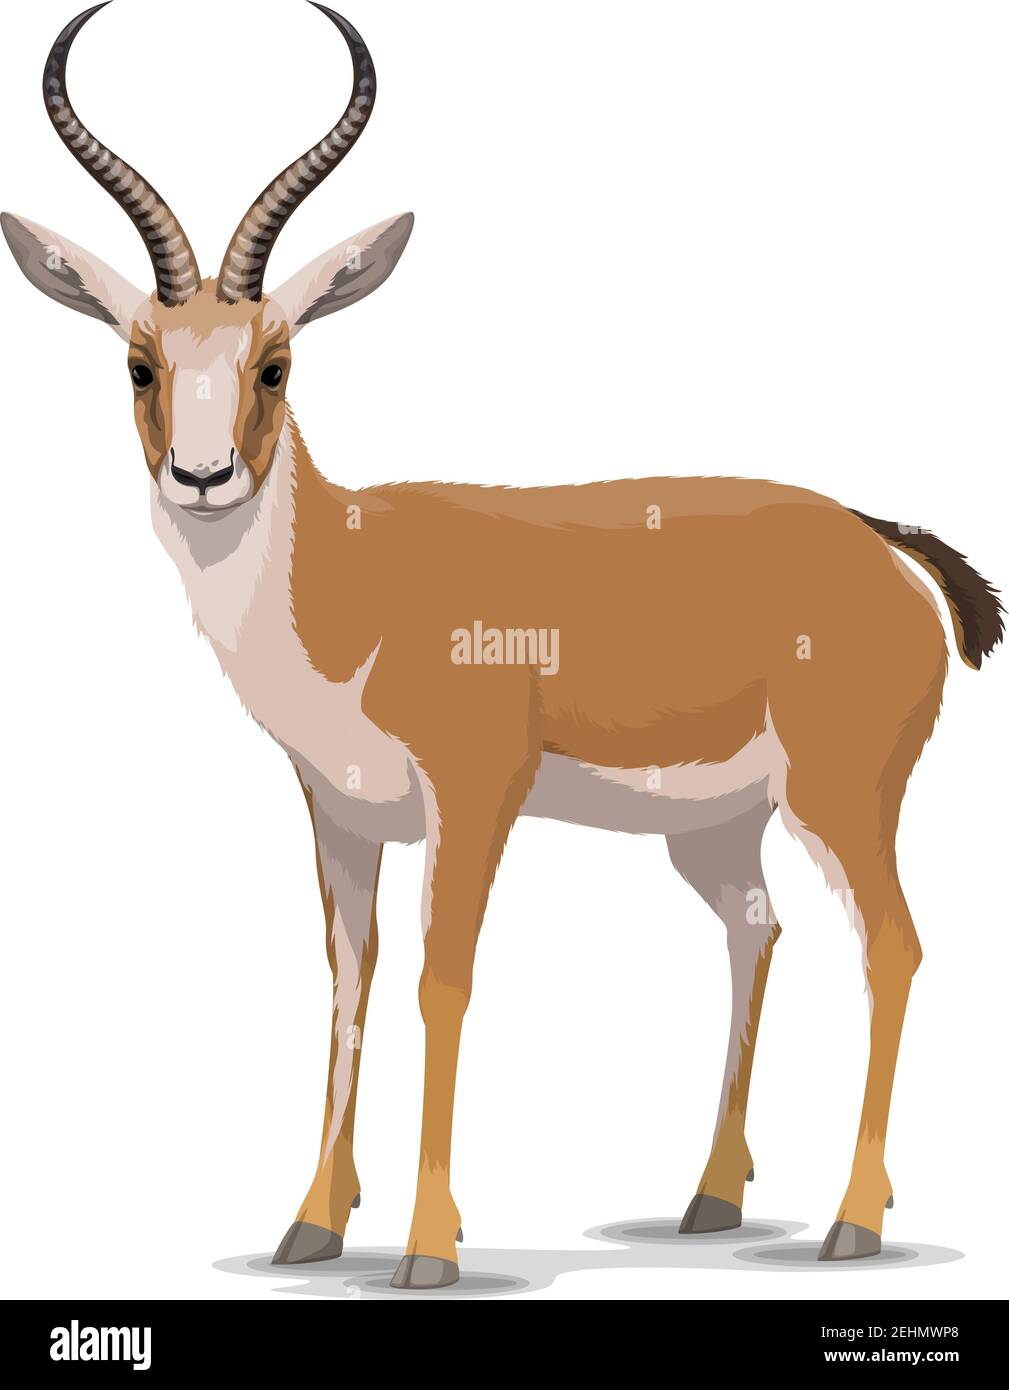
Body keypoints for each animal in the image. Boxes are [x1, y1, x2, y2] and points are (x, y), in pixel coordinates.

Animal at [4, 1, 1002, 1292]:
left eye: (277, 362)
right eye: (141, 363)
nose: (204, 474)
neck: (351, 581)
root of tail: (876, 536)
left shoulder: (473, 795)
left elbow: (443, 982)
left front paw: (427, 1245)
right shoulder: (340, 809)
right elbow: (351, 982)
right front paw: (311, 1224)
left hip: (841, 798)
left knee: (893, 944)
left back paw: (852, 1223)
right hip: (715, 826)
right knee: (756, 927)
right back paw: (709, 1198)